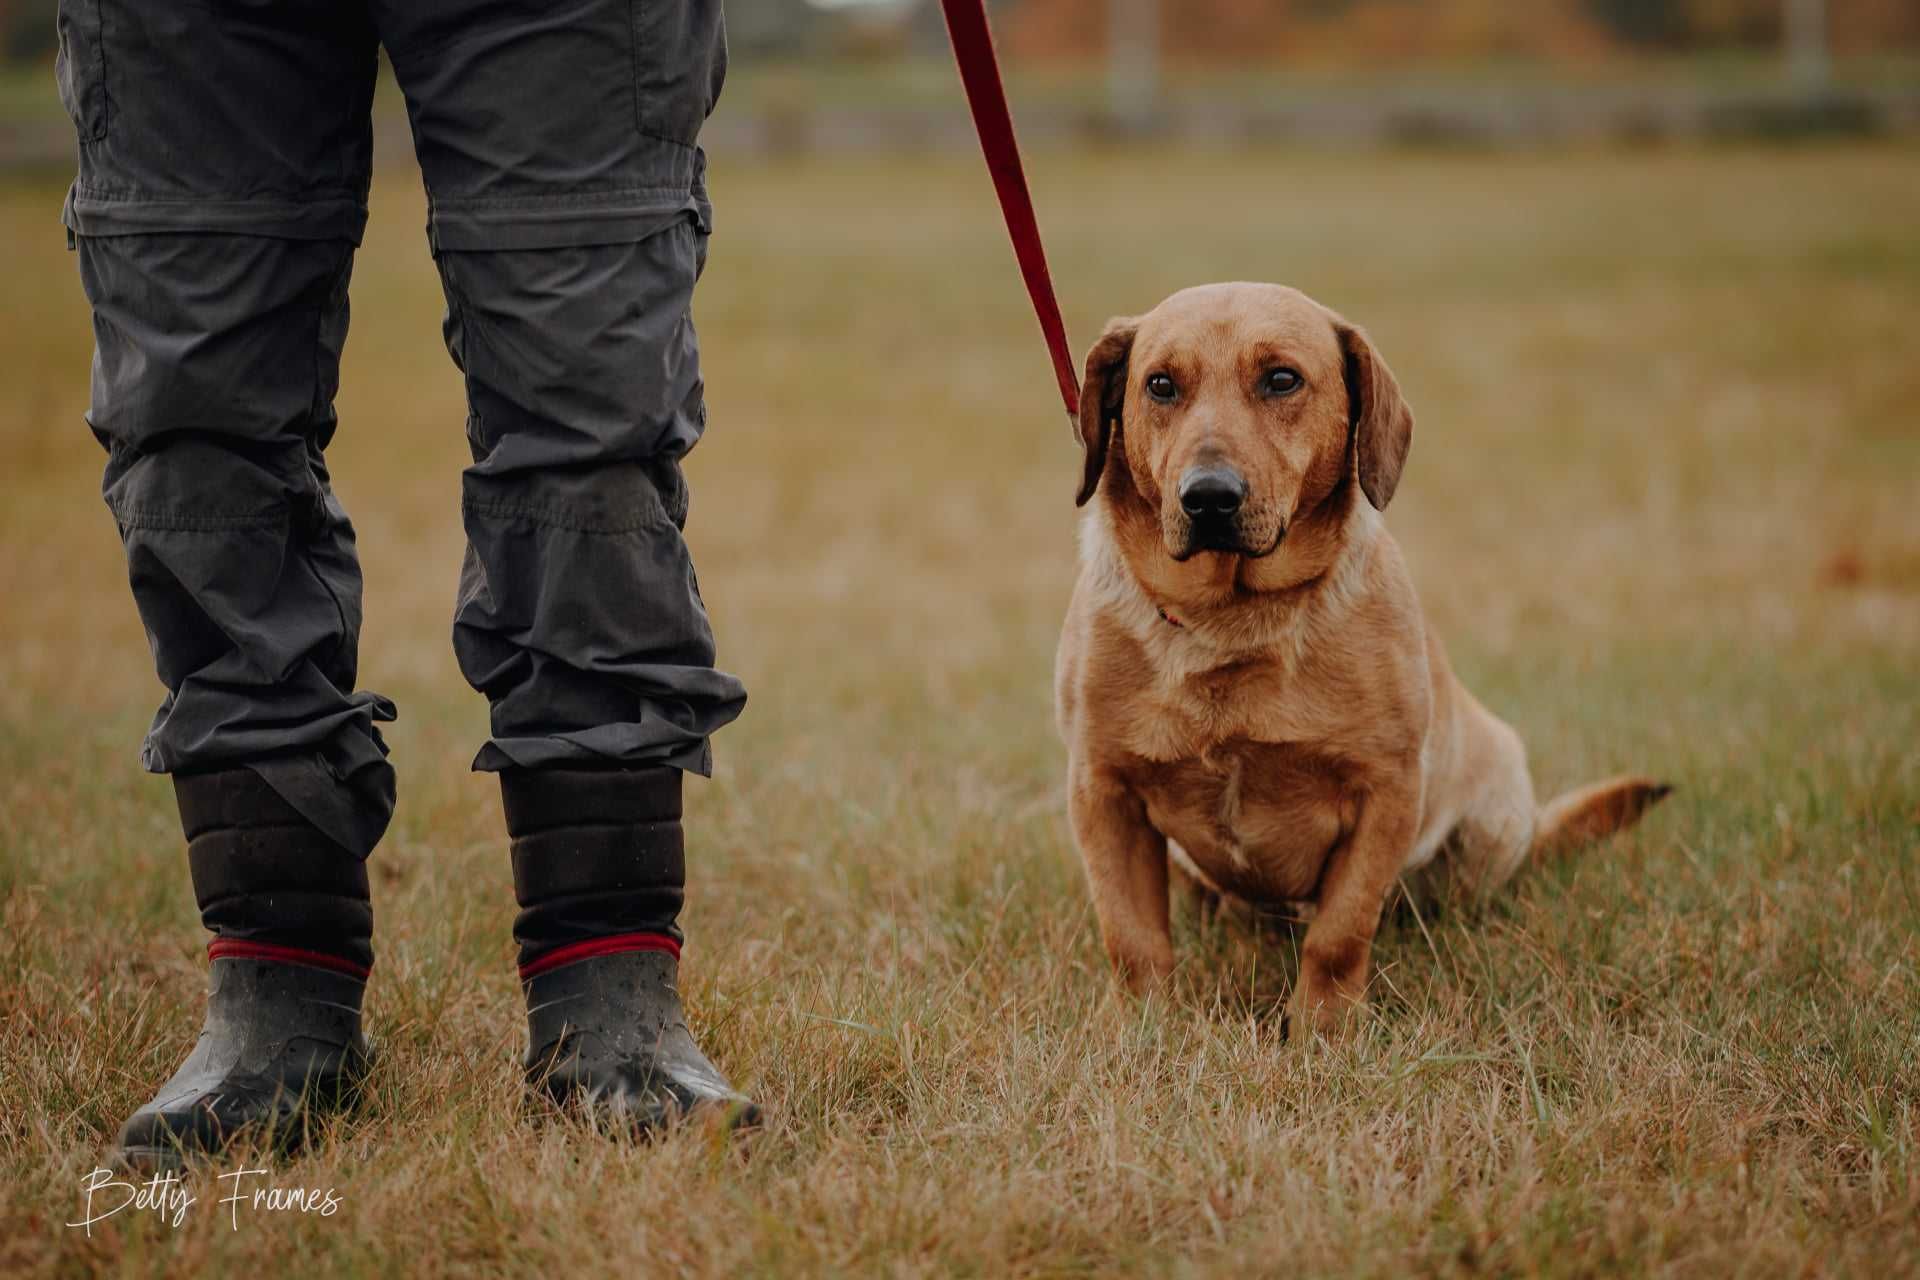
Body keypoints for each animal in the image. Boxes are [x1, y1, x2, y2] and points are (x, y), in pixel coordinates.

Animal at [1052, 285, 1666, 1036]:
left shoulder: (1386, 793)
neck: (1231, 623)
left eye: (1281, 379)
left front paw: (1323, 1030)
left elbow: (1341, 933)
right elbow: (1132, 936)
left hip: (1487, 829)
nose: (1208, 497)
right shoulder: (1103, 793)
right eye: (1160, 385)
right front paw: (1140, 1029)